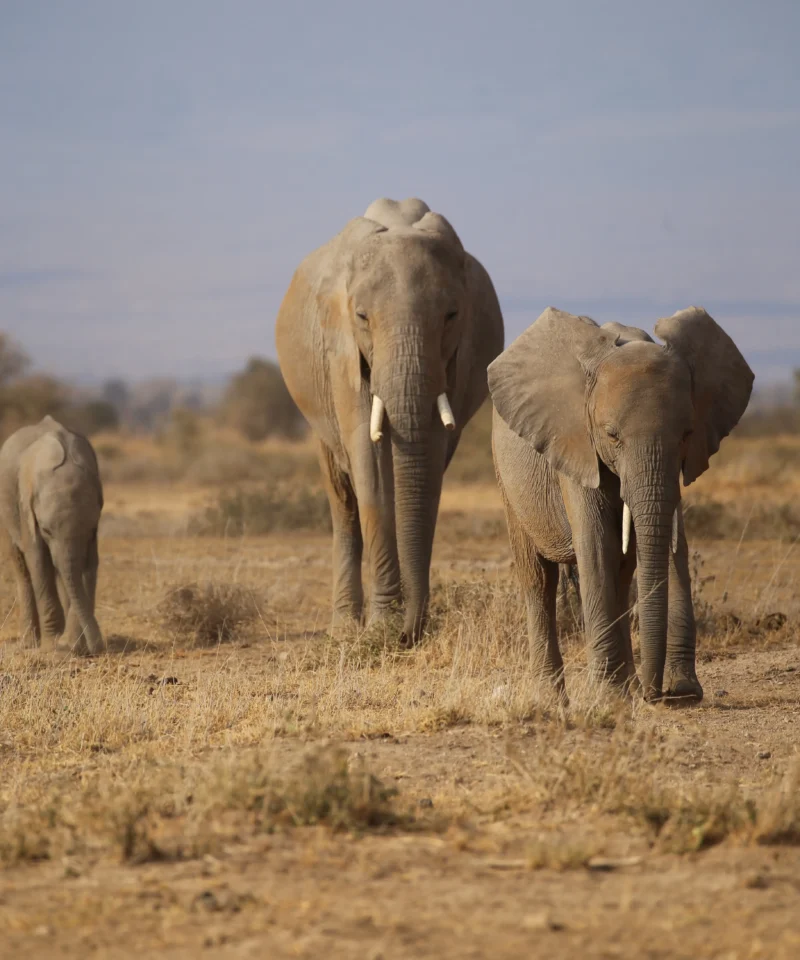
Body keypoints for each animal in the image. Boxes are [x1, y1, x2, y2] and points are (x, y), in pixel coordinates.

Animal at [0, 416, 104, 654]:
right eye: (46, 530)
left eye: (90, 529)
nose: (99, 648)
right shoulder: (26, 508)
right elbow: (38, 561)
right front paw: (53, 646)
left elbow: (89, 566)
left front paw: (72, 645)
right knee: (23, 569)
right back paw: (29, 643)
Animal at [276, 197, 504, 643]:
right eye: (363, 317)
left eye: (451, 315)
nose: (408, 634)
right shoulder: (341, 351)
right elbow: (369, 463)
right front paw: (382, 628)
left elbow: (429, 466)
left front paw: (399, 625)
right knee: (342, 496)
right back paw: (345, 629)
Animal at [489, 306, 753, 702]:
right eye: (612, 435)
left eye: (687, 434)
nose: (657, 694)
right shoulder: (576, 441)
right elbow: (596, 545)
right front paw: (607, 698)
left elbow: (652, 545)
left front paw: (662, 692)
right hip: (507, 477)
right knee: (539, 578)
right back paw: (554, 699)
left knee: (623, 569)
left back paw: (625, 687)